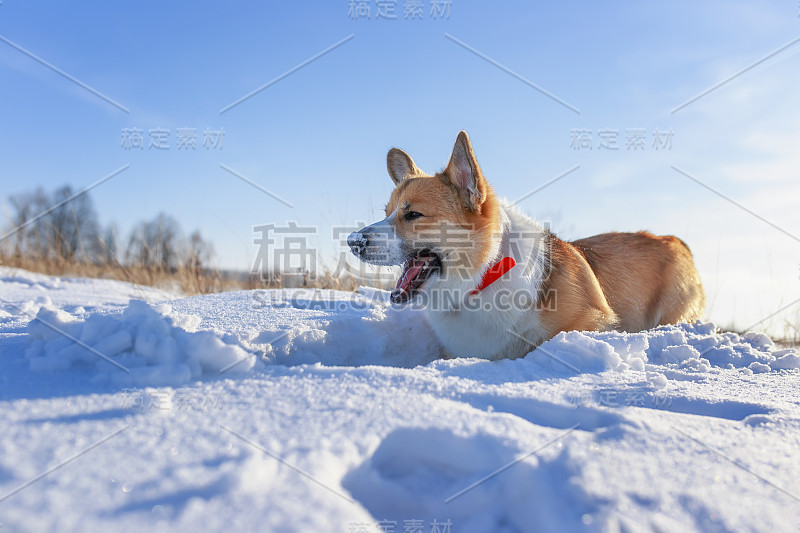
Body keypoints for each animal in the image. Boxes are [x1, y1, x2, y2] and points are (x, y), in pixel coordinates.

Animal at [346, 131, 704, 360]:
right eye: (387, 212)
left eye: (413, 214)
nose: (352, 241)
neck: (485, 274)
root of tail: (676, 242)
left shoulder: (595, 323)